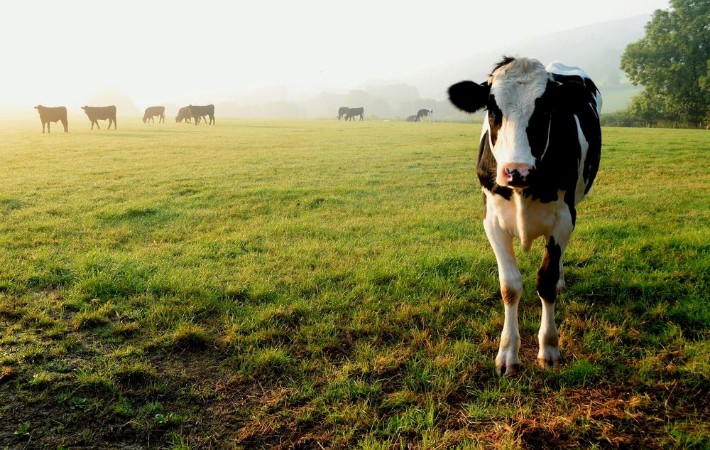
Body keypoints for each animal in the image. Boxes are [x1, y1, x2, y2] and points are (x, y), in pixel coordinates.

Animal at [448, 56, 604, 376]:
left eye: (545, 110)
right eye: (492, 110)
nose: (516, 170)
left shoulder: (564, 218)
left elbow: (546, 279)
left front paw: (550, 347)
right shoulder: (492, 220)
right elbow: (510, 286)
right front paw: (507, 353)